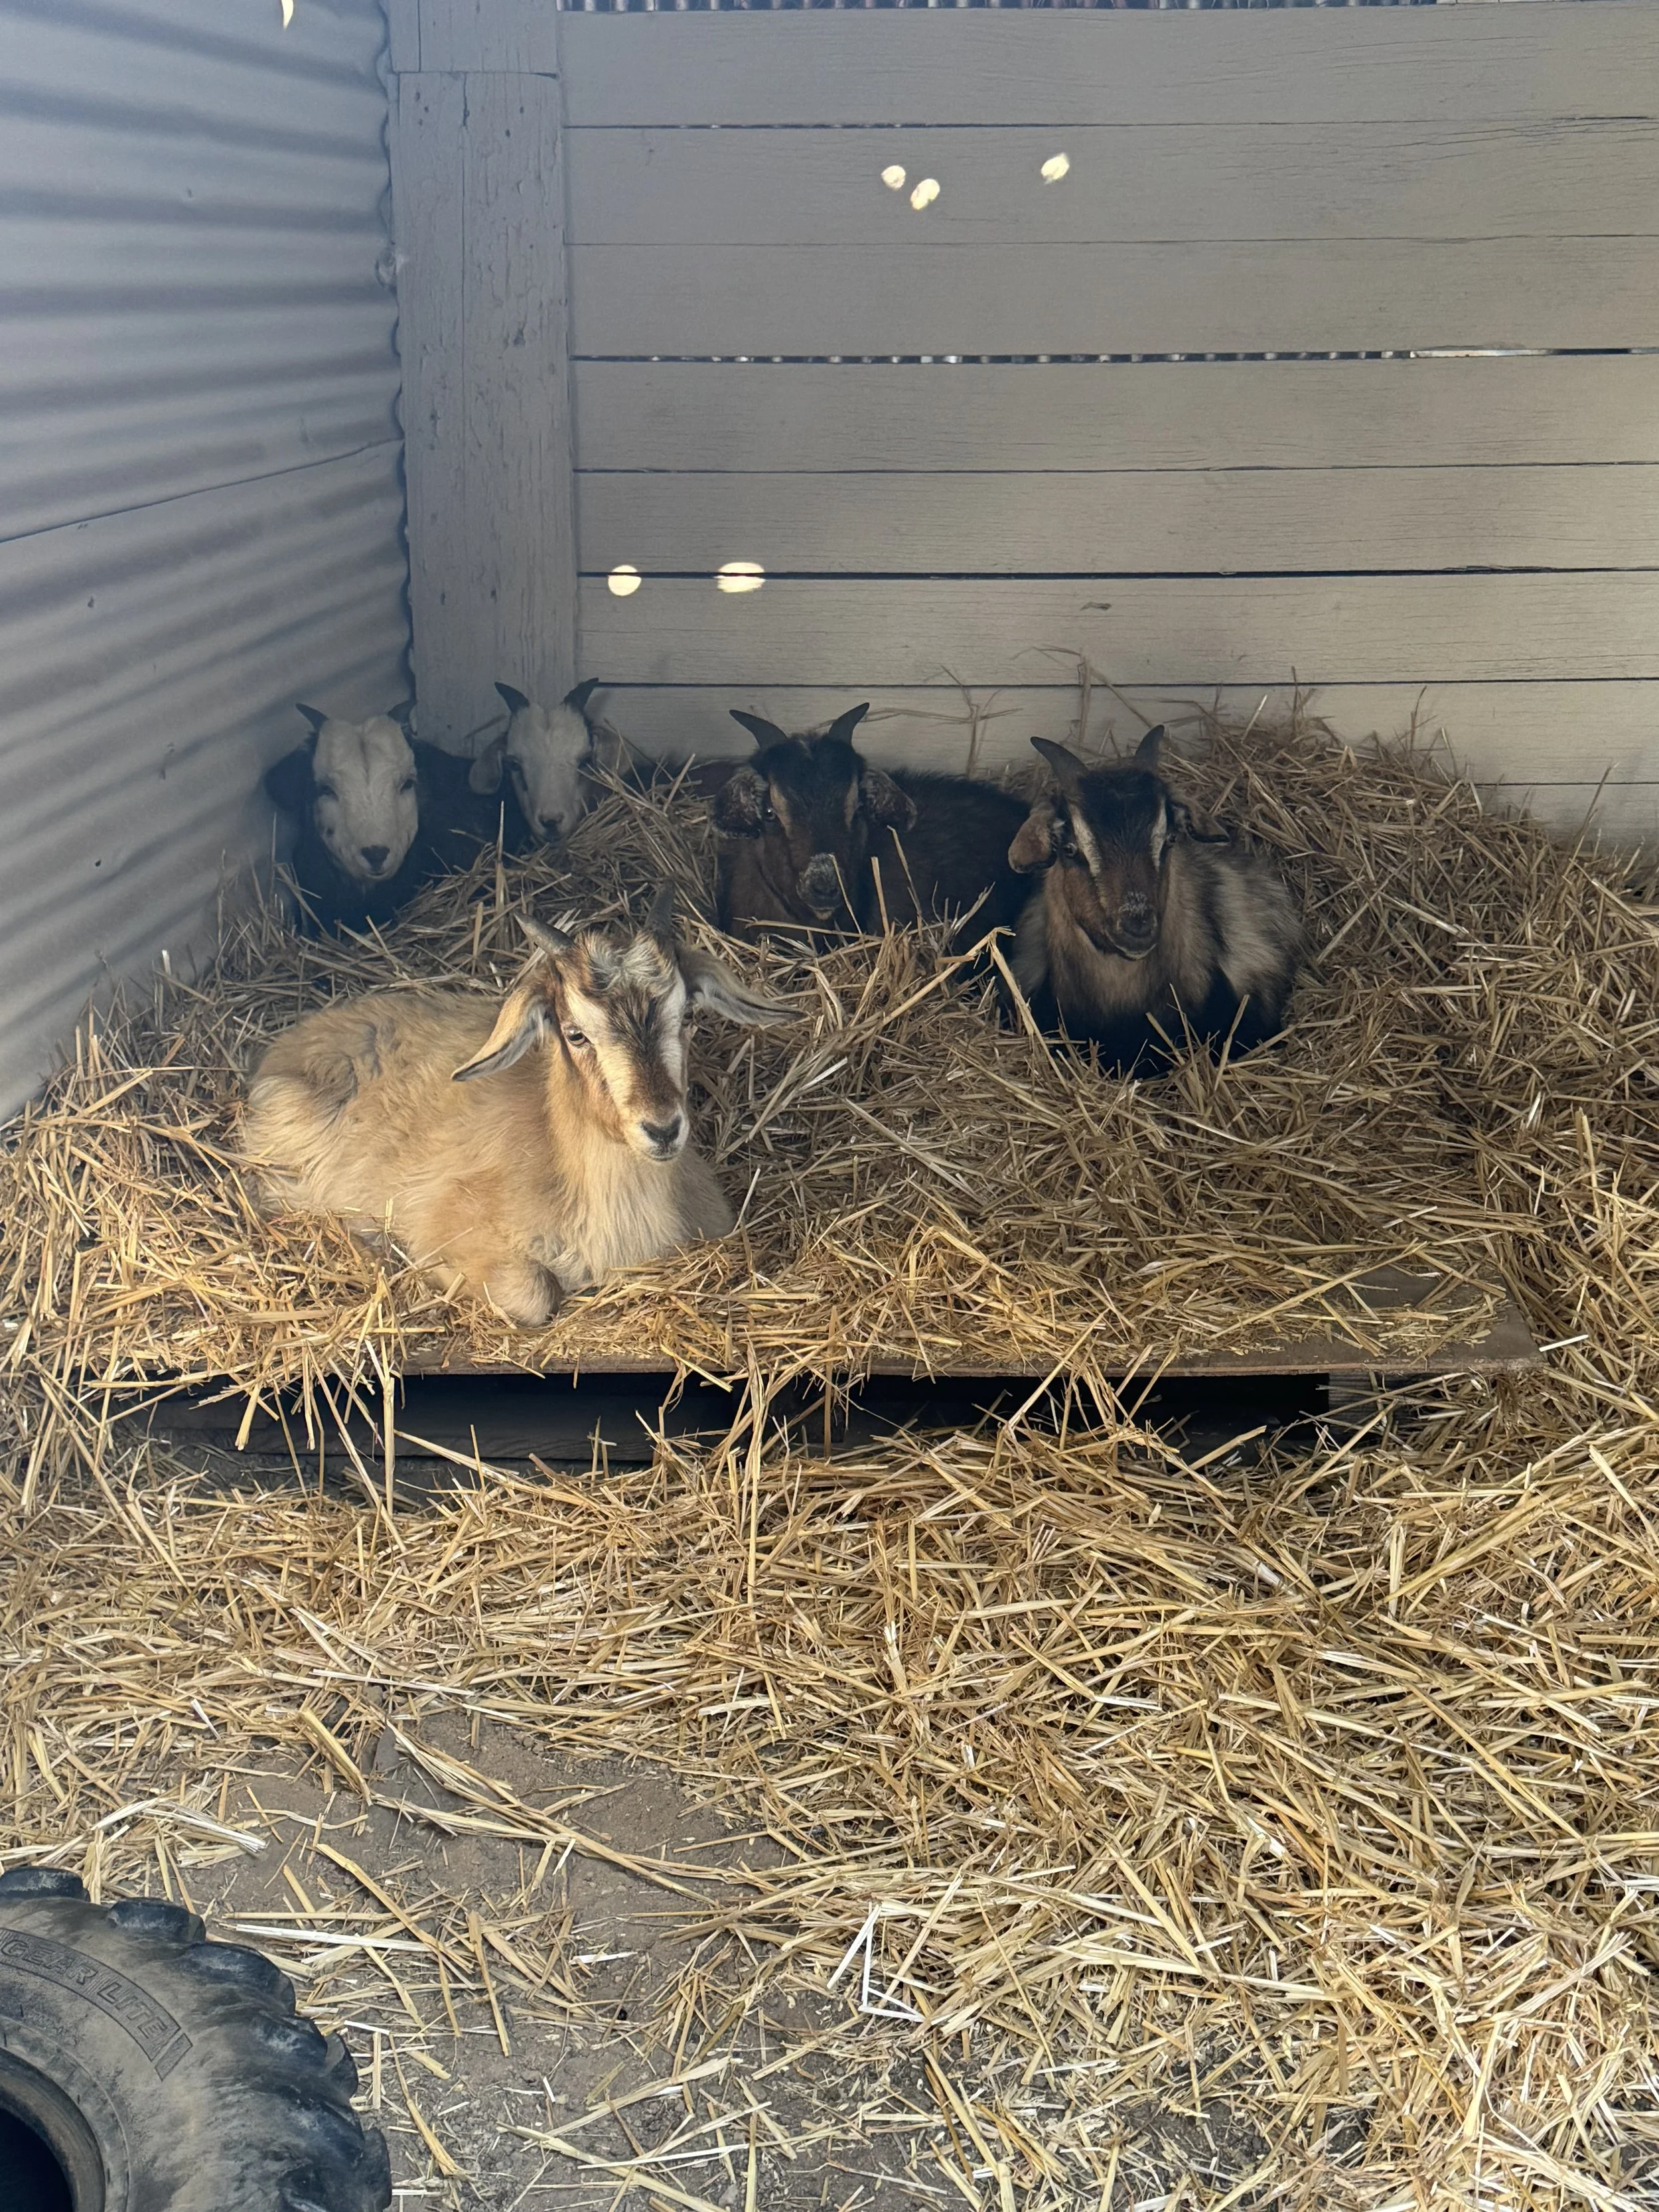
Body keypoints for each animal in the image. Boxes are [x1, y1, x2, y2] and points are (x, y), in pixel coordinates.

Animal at [241, 887, 784, 1328]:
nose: (663, 1128)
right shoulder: (453, 1217)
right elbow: (531, 1292)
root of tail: (286, 1048)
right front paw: (426, 1269)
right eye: (575, 1033)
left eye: (687, 1015)